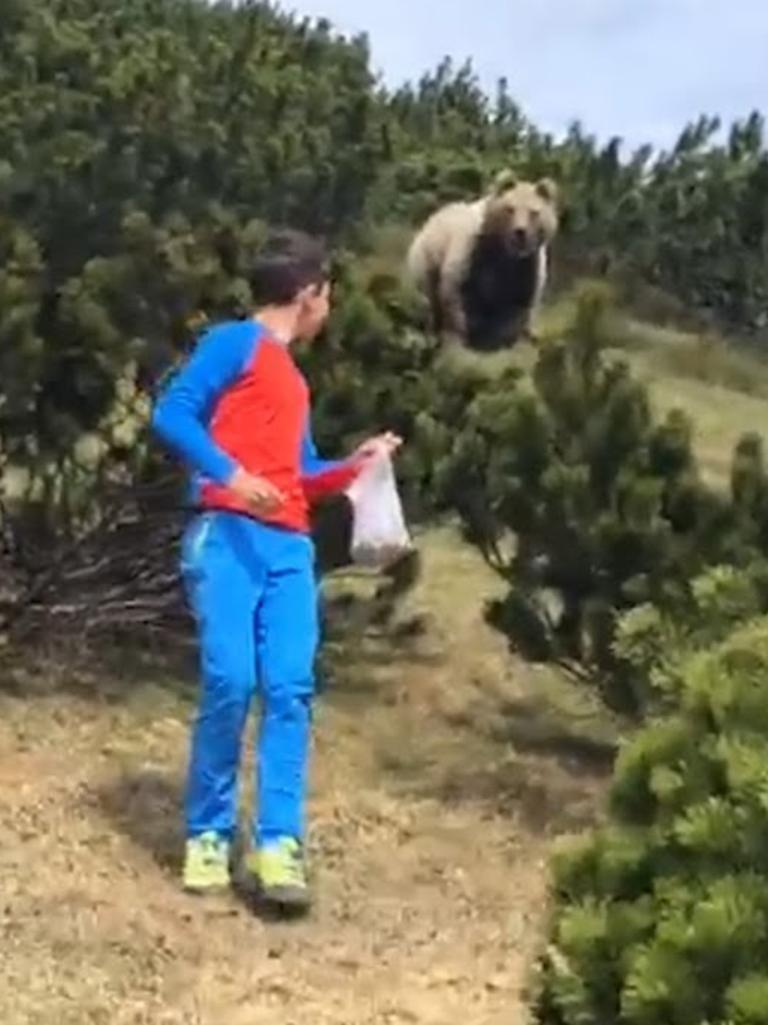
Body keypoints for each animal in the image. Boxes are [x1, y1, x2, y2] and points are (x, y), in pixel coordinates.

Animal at [408, 170, 557, 350]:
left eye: (534, 212)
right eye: (510, 209)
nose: (520, 232)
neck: (504, 251)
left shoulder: (527, 266)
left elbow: (519, 303)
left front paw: (504, 339)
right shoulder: (473, 252)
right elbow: (455, 291)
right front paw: (464, 337)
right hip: (426, 259)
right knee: (427, 297)